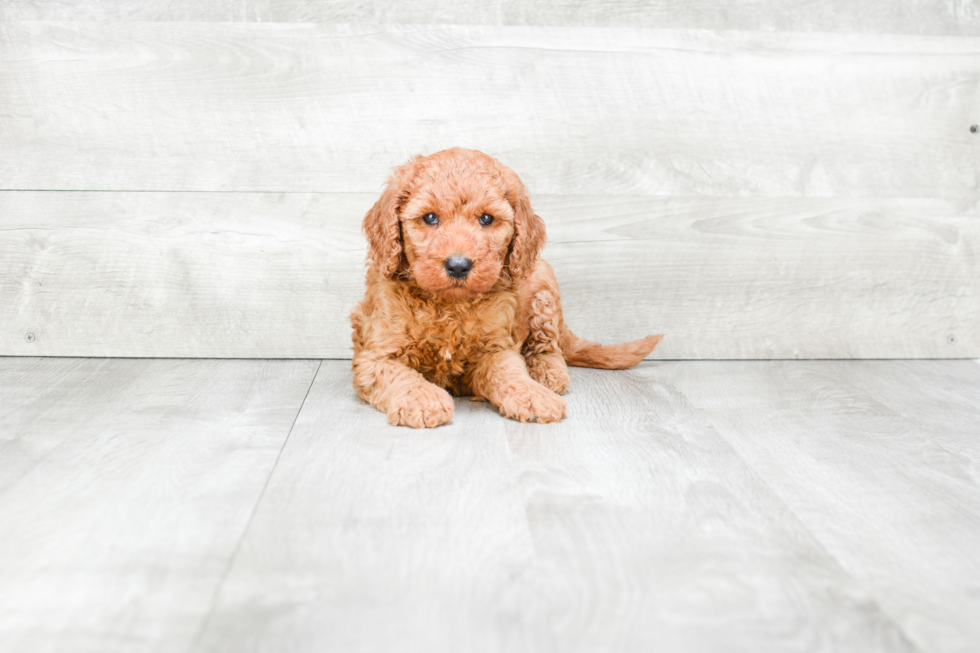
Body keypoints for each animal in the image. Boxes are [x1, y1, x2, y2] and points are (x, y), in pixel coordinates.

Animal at [348, 146, 664, 428]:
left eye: (486, 219)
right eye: (429, 218)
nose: (458, 265)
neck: (449, 305)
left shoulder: (497, 347)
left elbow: (509, 372)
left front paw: (533, 397)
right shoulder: (376, 355)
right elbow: (399, 375)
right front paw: (422, 400)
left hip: (543, 293)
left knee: (548, 347)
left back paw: (547, 375)